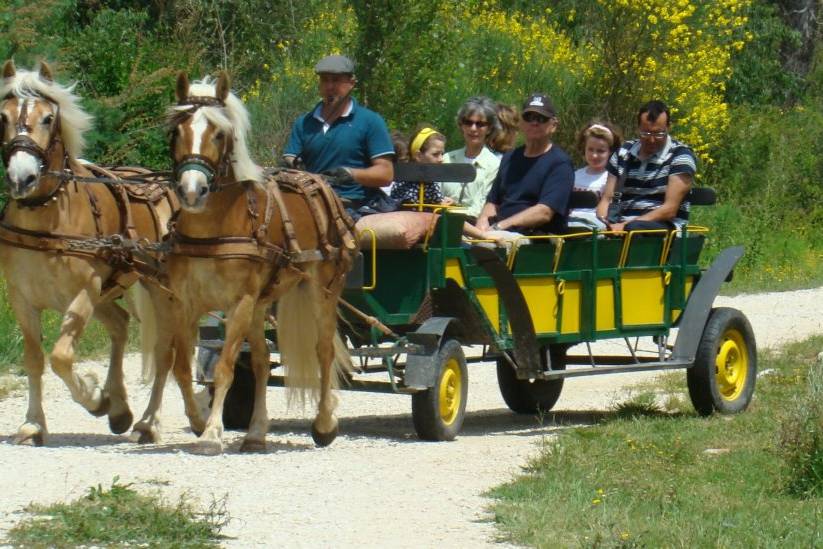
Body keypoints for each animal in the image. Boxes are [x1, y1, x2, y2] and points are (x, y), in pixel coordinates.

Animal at [0, 60, 177, 446]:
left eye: (48, 118)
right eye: (2, 116)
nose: (22, 178)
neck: (48, 216)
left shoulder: (82, 293)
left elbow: (61, 357)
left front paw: (95, 398)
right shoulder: (22, 297)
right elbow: (35, 358)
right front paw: (33, 424)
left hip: (156, 290)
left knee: (164, 350)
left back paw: (148, 421)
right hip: (107, 293)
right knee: (120, 325)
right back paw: (121, 408)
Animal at [130, 70, 356, 452]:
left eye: (219, 134)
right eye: (176, 131)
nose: (192, 191)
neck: (213, 230)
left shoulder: (240, 302)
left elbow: (224, 367)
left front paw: (211, 434)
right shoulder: (185, 303)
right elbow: (181, 366)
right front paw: (197, 422)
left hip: (323, 291)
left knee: (324, 351)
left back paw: (324, 423)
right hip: (262, 302)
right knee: (263, 361)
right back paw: (255, 433)